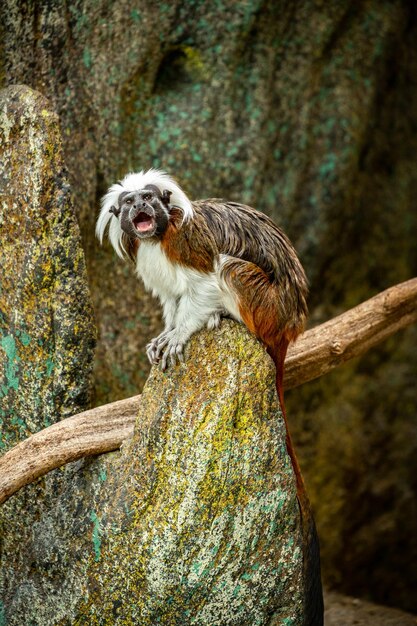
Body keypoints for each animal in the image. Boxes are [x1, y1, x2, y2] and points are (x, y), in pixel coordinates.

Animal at [96, 168, 322, 620]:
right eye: (129, 203)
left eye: (150, 198)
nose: (140, 206)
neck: (157, 237)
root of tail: (290, 327)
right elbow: (173, 297)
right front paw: (167, 331)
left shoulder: (188, 243)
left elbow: (203, 283)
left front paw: (181, 332)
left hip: (266, 307)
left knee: (231, 270)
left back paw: (223, 317)